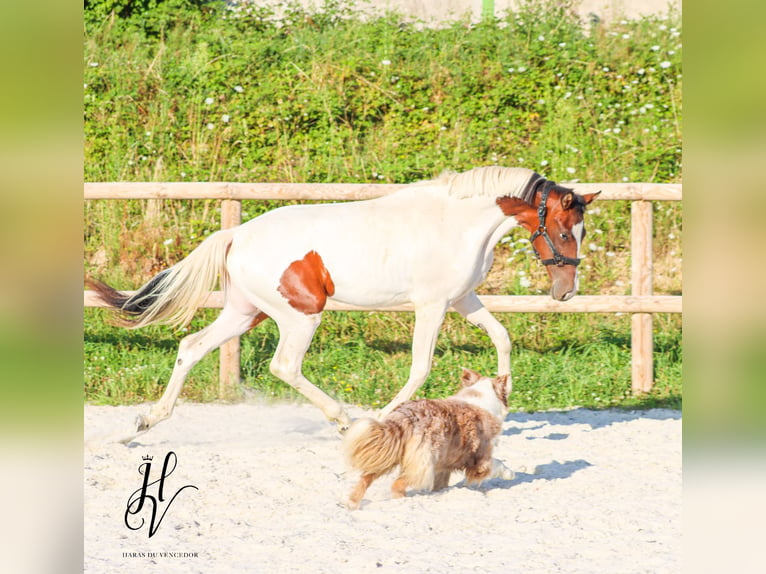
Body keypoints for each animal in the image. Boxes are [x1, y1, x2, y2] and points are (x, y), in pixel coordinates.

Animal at [88, 168, 600, 446]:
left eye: (581, 231)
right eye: (561, 230)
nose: (565, 292)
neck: (455, 223)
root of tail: (237, 234)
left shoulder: (463, 298)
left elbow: (502, 338)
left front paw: (501, 406)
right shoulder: (432, 304)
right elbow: (420, 366)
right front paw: (379, 418)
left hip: (245, 312)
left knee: (192, 347)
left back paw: (143, 423)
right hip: (300, 314)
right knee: (284, 366)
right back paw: (345, 421)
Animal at [344, 368, 512, 508]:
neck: (481, 396)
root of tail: (404, 415)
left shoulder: (444, 464)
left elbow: (442, 483)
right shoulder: (481, 460)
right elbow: (497, 464)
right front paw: (510, 473)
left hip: (386, 454)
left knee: (365, 478)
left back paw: (352, 503)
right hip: (424, 464)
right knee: (397, 484)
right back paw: (401, 501)